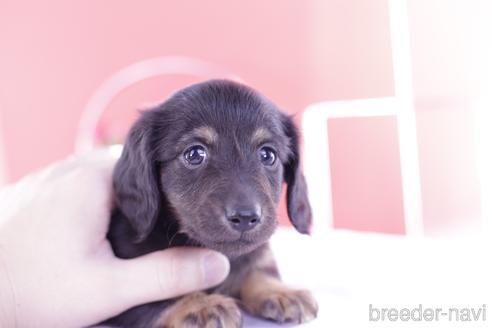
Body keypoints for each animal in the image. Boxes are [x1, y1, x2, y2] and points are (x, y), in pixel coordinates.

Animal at [104, 80, 320, 328]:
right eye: (195, 154)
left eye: (268, 155)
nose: (245, 217)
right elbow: (159, 297)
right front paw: (198, 305)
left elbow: (255, 263)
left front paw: (278, 290)